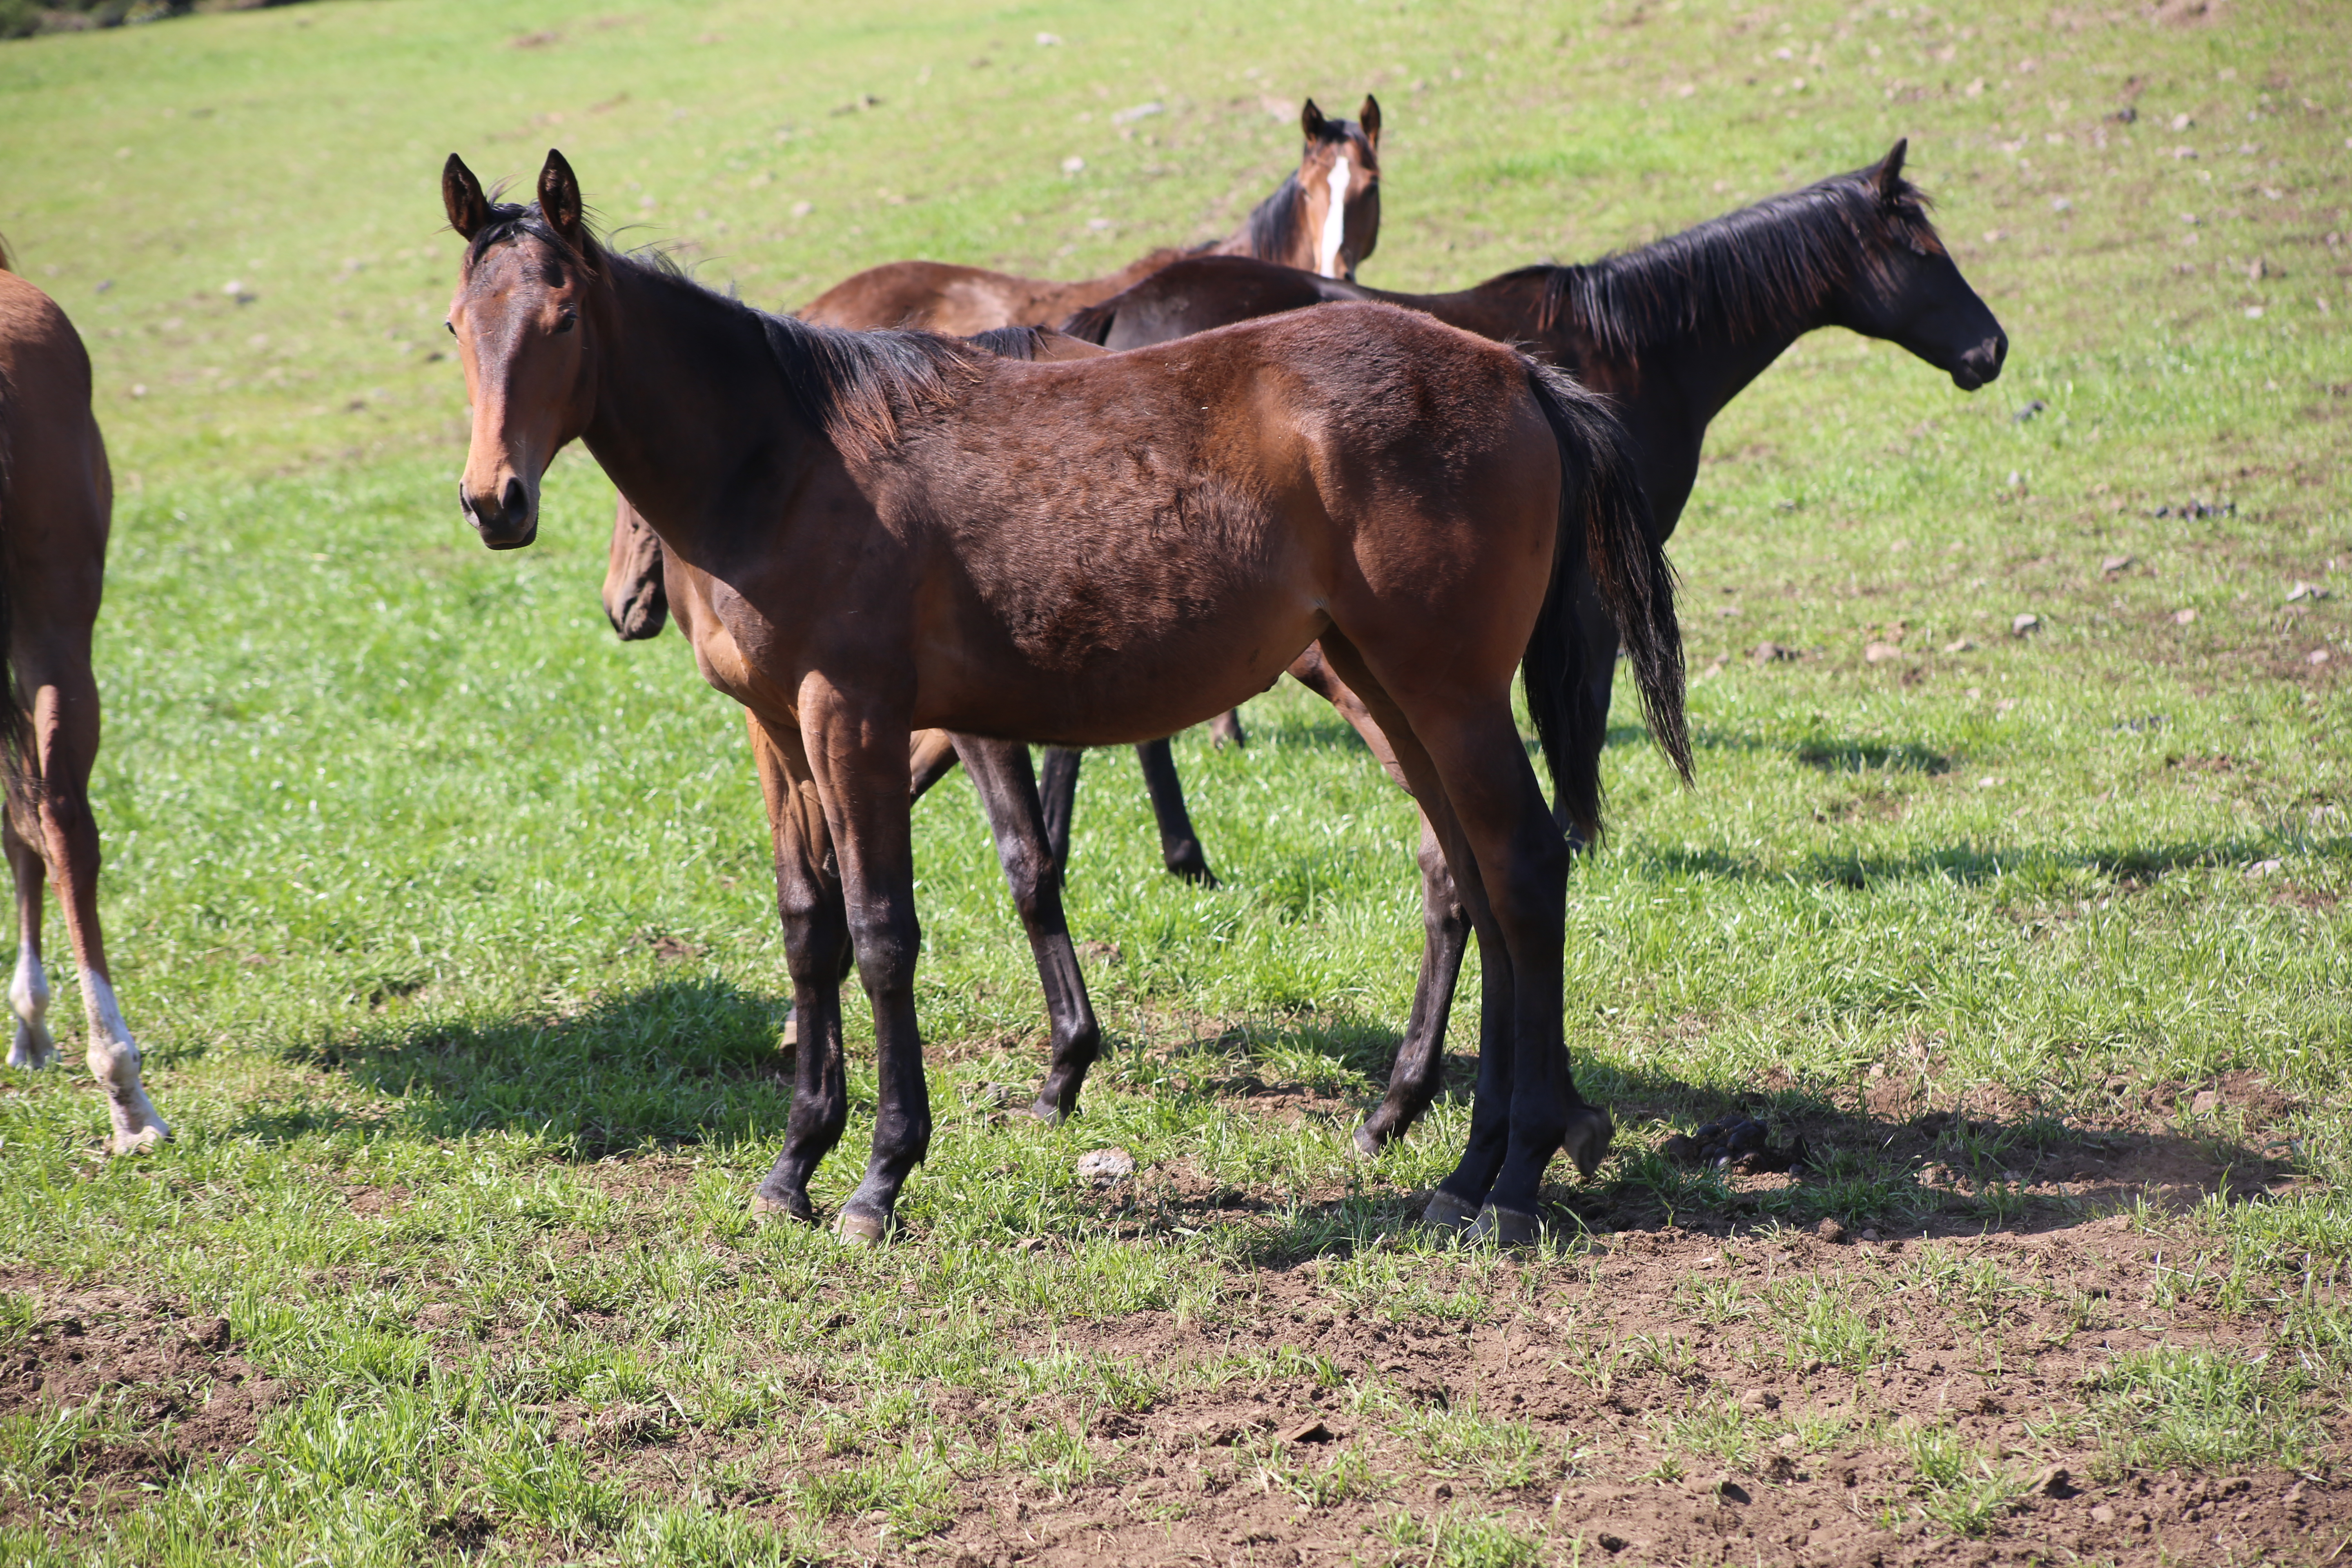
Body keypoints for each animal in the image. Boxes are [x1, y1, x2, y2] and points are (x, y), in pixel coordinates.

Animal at [444, 150, 1693, 1250]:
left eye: (562, 320)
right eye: (459, 328)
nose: (493, 502)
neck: (787, 460)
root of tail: (1516, 372)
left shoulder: (856, 719)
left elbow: (884, 934)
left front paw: (881, 1176)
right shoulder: (777, 733)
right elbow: (811, 933)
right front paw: (793, 1164)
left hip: (1446, 693)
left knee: (1522, 870)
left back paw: (1516, 1178)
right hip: (1391, 689)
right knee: (1475, 880)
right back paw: (1466, 1168)